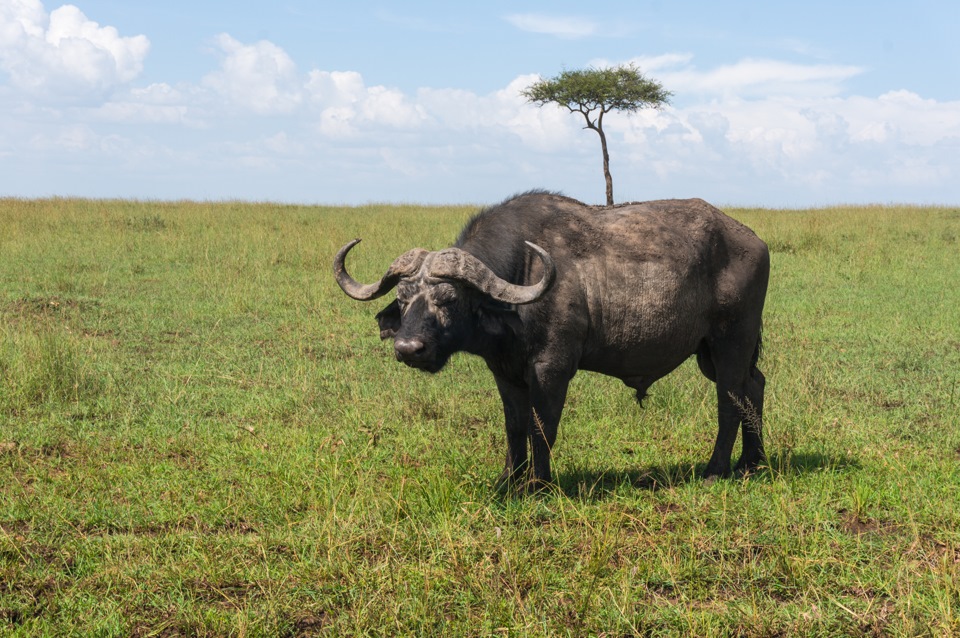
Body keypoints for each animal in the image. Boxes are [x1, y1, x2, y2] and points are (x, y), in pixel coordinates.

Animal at [334, 190, 768, 490]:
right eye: (403, 299)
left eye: (449, 298)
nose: (409, 349)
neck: (517, 286)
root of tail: (753, 241)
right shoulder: (505, 372)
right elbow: (514, 426)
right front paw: (509, 479)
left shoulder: (552, 369)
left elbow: (542, 426)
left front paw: (538, 484)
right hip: (710, 352)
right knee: (754, 387)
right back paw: (752, 462)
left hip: (731, 342)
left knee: (730, 401)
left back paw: (716, 470)